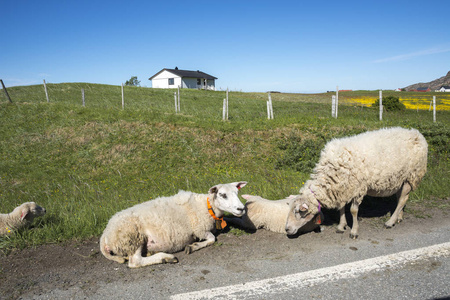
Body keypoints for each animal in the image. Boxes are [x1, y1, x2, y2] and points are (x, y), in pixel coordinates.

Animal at [100, 182, 248, 268]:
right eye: (223, 195)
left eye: (237, 193)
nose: (241, 209)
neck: (206, 206)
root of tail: (105, 234)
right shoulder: (199, 229)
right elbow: (212, 238)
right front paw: (193, 246)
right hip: (132, 236)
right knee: (135, 262)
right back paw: (166, 258)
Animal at [286, 127, 428, 240]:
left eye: (299, 212)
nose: (286, 229)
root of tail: (417, 134)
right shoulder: (343, 187)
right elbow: (341, 208)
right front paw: (341, 226)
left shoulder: (358, 188)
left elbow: (353, 211)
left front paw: (354, 231)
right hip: (401, 179)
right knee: (401, 198)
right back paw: (399, 218)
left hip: (412, 176)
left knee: (402, 200)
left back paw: (390, 222)